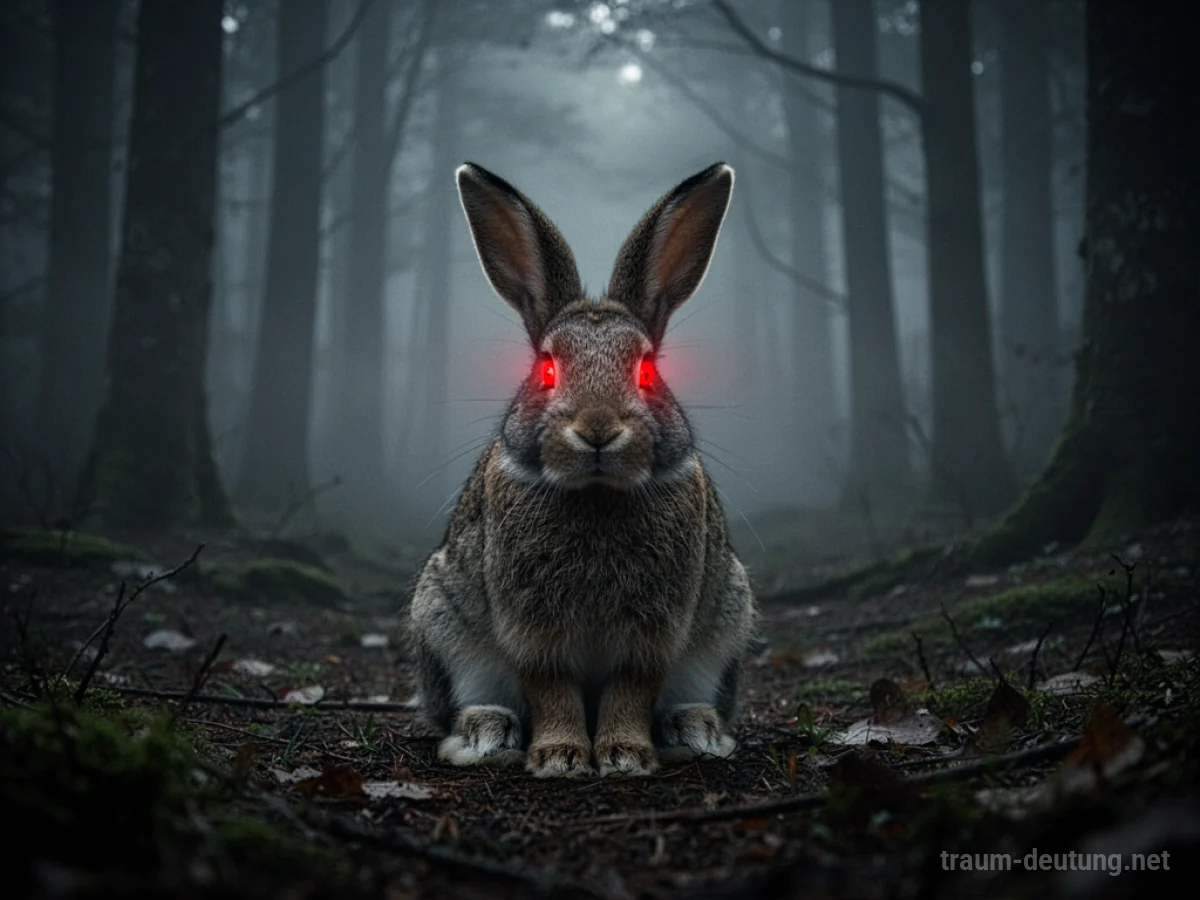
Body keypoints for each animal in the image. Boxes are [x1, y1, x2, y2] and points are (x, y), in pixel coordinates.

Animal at [407, 160, 757, 778]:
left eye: (646, 371)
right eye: (546, 370)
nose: (597, 429)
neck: (596, 492)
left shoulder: (652, 634)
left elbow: (631, 690)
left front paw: (624, 755)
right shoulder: (530, 629)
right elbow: (549, 689)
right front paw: (561, 756)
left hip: (725, 625)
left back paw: (695, 728)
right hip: (443, 619)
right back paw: (484, 732)